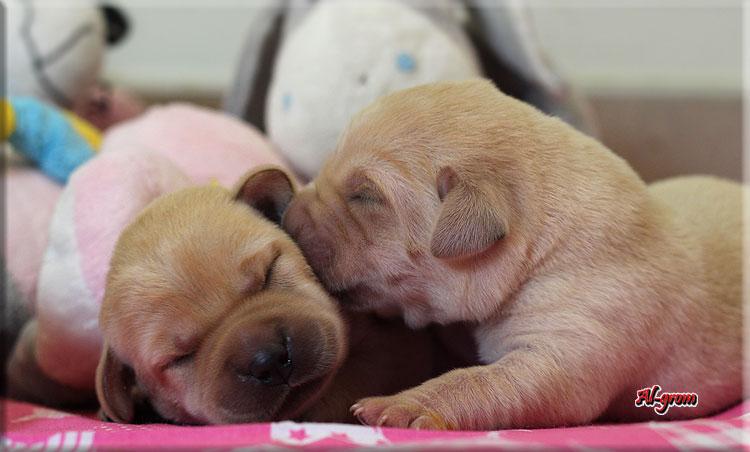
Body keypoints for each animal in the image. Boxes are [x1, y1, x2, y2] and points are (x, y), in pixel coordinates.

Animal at [280, 79, 744, 430]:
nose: (287, 214)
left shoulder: (565, 349)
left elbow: (479, 382)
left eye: (365, 196)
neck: (539, 249)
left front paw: (402, 405)